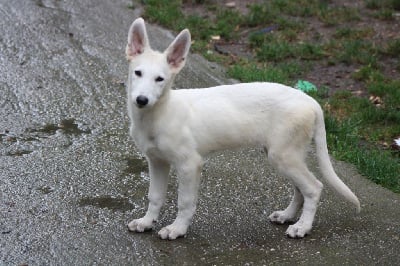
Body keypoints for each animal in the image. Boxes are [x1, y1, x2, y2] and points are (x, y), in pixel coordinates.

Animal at [125, 17, 360, 240]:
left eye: (160, 79)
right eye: (137, 73)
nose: (142, 100)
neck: (158, 115)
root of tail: (310, 101)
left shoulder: (189, 164)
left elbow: (185, 202)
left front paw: (177, 229)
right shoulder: (157, 161)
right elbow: (155, 196)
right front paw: (146, 222)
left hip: (283, 155)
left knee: (313, 188)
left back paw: (302, 227)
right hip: (288, 154)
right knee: (300, 189)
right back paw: (287, 216)